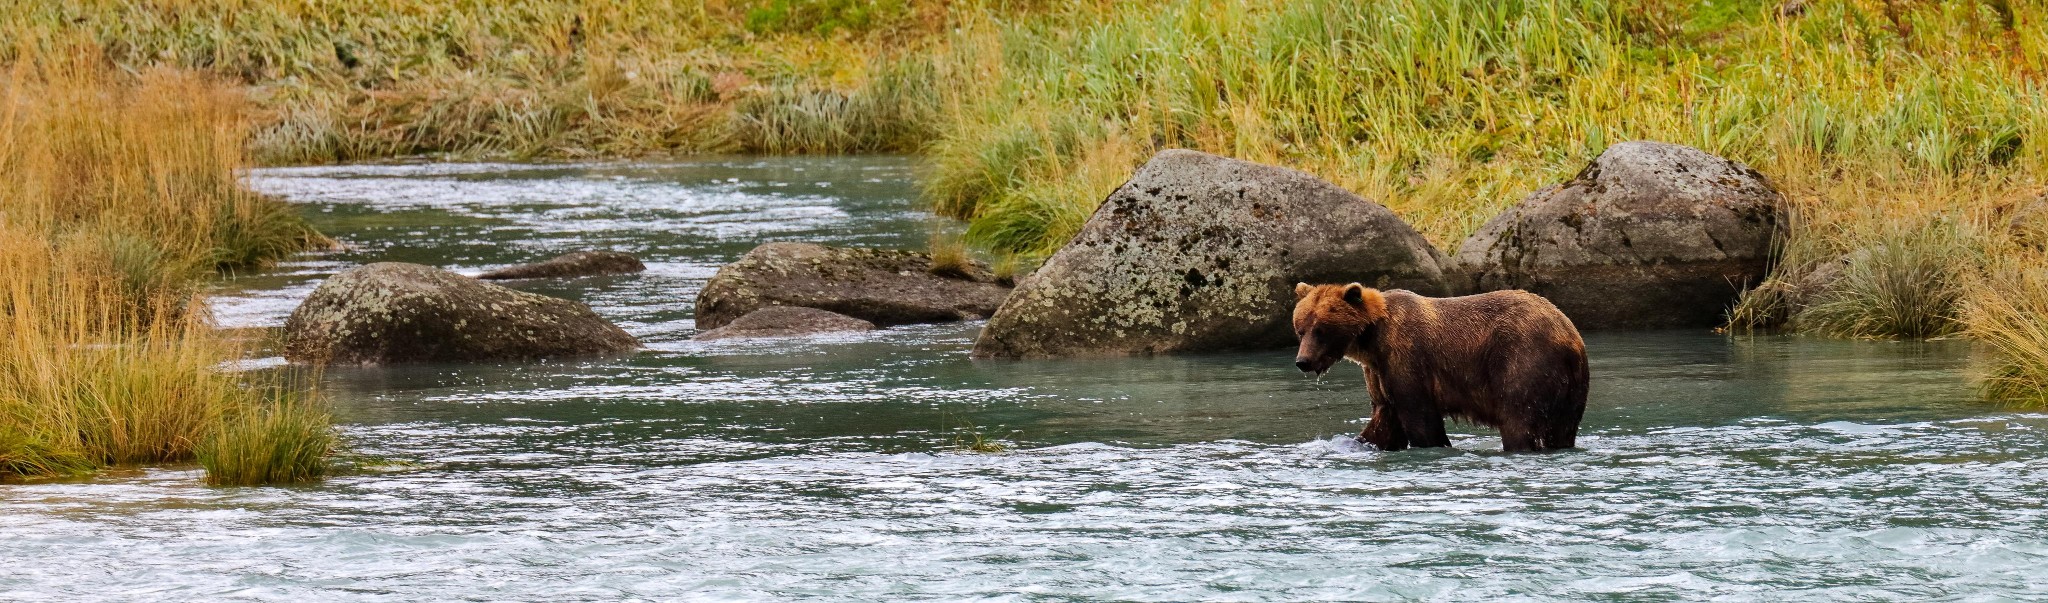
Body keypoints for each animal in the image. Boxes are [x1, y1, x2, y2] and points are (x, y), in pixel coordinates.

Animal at [1286, 283, 1589, 451]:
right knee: (1562, 429)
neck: (1371, 339)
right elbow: (1383, 420)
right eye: (1300, 329)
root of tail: (1571, 337)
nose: (1303, 362)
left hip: (1523, 359)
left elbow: (1421, 418)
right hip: (1569, 390)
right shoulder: (1379, 371)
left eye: (1321, 330)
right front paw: (1357, 442)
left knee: (1519, 420)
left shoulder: (1406, 356)